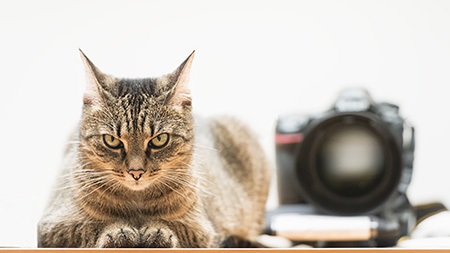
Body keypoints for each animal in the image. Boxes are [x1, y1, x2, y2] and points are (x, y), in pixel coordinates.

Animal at [37, 50, 270, 248]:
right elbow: (91, 227)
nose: (136, 172)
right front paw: (119, 231)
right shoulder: (51, 227)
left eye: (160, 140)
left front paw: (156, 230)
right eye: (112, 141)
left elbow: (176, 227)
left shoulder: (203, 231)